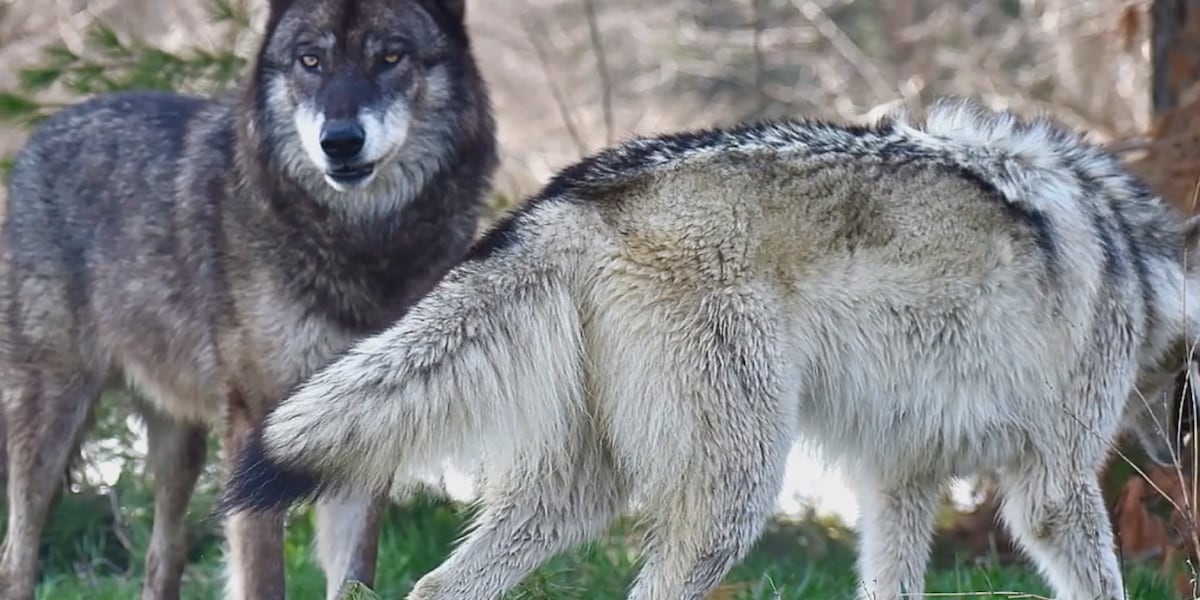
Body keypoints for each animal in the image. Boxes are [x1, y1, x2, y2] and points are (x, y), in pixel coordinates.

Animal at [0, 0, 496, 599]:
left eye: (391, 57)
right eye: (310, 60)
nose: (340, 140)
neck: (359, 246)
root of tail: (40, 134)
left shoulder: (363, 421)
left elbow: (355, 574)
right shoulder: (255, 422)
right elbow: (262, 576)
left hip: (180, 445)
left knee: (162, 555)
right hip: (52, 417)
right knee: (17, 554)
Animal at [219, 97, 1200, 600]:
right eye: (1187, 394)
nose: (1173, 466)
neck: (1137, 260)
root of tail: (574, 195)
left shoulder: (899, 482)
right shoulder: (1052, 488)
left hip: (581, 494)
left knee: (435, 588)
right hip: (733, 496)